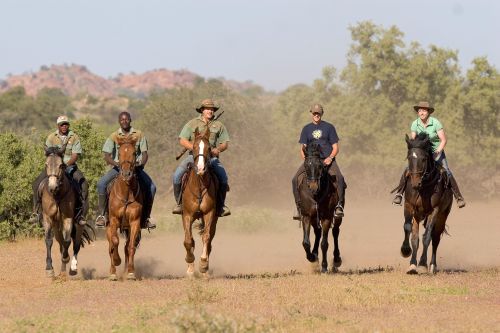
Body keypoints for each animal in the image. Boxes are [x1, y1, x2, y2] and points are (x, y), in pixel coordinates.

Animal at [40, 147, 93, 276]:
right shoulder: (48, 218)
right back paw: (63, 270)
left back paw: (72, 267)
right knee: (60, 242)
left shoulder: (68, 219)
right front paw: (49, 268)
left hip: (78, 224)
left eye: (61, 165)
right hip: (57, 227)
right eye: (46, 164)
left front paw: (66, 259)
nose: (52, 187)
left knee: (76, 244)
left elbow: (68, 241)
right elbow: (49, 241)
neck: (57, 195)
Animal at [106, 135, 143, 280]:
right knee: (111, 245)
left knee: (127, 247)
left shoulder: (135, 222)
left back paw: (126, 270)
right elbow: (115, 242)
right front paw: (117, 261)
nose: (126, 174)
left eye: (134, 153)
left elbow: (131, 246)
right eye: (120, 153)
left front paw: (131, 272)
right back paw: (112, 272)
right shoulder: (114, 220)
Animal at [296, 143, 344, 272]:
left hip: (337, 216)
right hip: (314, 218)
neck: (315, 195)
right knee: (317, 232)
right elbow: (306, 242)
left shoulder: (326, 217)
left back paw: (337, 259)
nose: (313, 186)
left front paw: (324, 267)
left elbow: (324, 243)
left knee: (335, 232)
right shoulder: (306, 216)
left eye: (320, 166)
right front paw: (312, 258)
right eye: (306, 165)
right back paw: (315, 254)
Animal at [398, 132, 454, 272]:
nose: (415, 183)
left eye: (424, 159)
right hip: (418, 216)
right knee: (417, 237)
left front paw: (422, 264)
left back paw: (432, 265)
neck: (423, 187)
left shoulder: (434, 210)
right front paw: (407, 254)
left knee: (435, 238)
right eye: (409, 158)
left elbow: (427, 236)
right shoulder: (409, 206)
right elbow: (409, 230)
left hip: (442, 216)